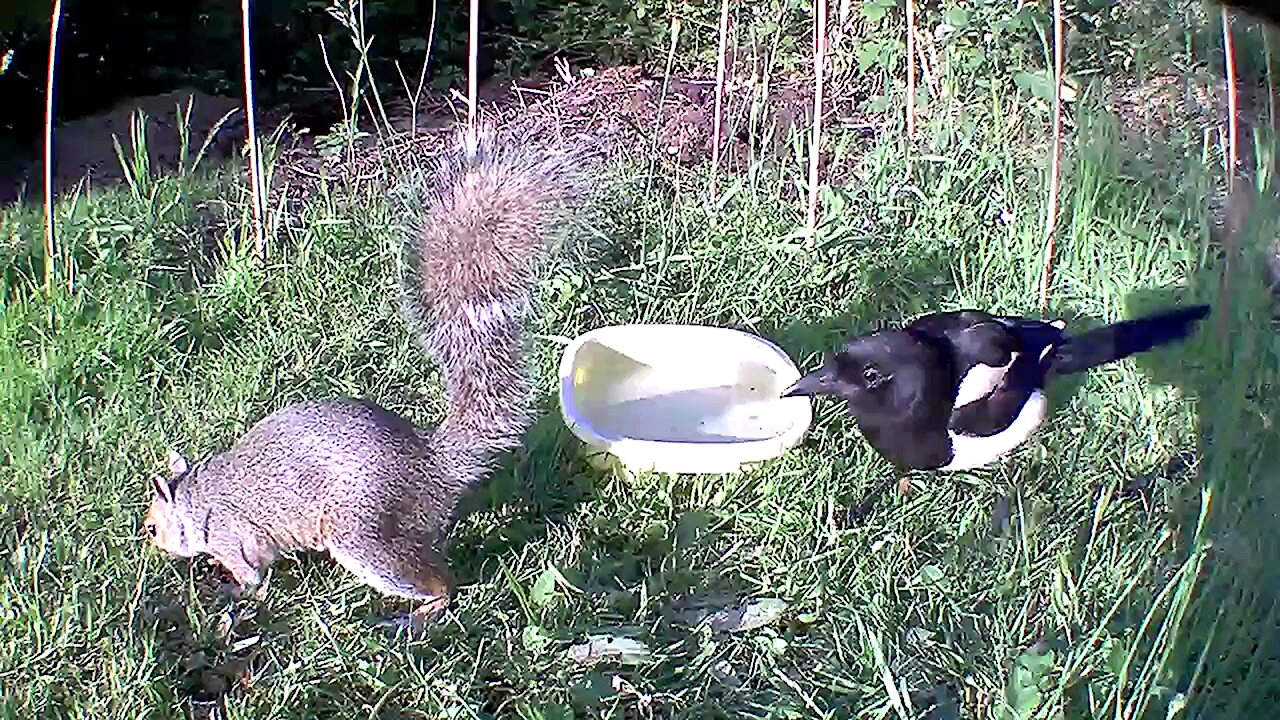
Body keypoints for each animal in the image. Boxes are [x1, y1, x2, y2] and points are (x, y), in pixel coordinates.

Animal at [142, 122, 591, 627]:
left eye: (152, 527)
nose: (153, 550)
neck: (198, 500)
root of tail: (432, 466)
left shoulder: (234, 538)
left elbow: (252, 579)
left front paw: (232, 596)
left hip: (363, 533)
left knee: (437, 581)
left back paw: (422, 612)